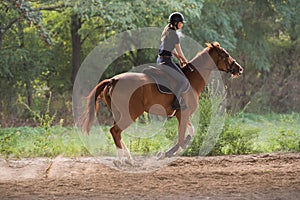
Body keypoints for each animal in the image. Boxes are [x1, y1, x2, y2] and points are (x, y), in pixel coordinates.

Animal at [78, 41, 243, 165]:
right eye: (226, 55)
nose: (239, 69)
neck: (191, 80)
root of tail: (114, 80)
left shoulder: (181, 114)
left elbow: (190, 132)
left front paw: (174, 150)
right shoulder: (184, 113)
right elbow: (182, 137)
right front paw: (165, 154)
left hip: (119, 113)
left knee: (117, 132)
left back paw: (129, 159)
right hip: (130, 113)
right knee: (115, 131)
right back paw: (121, 160)